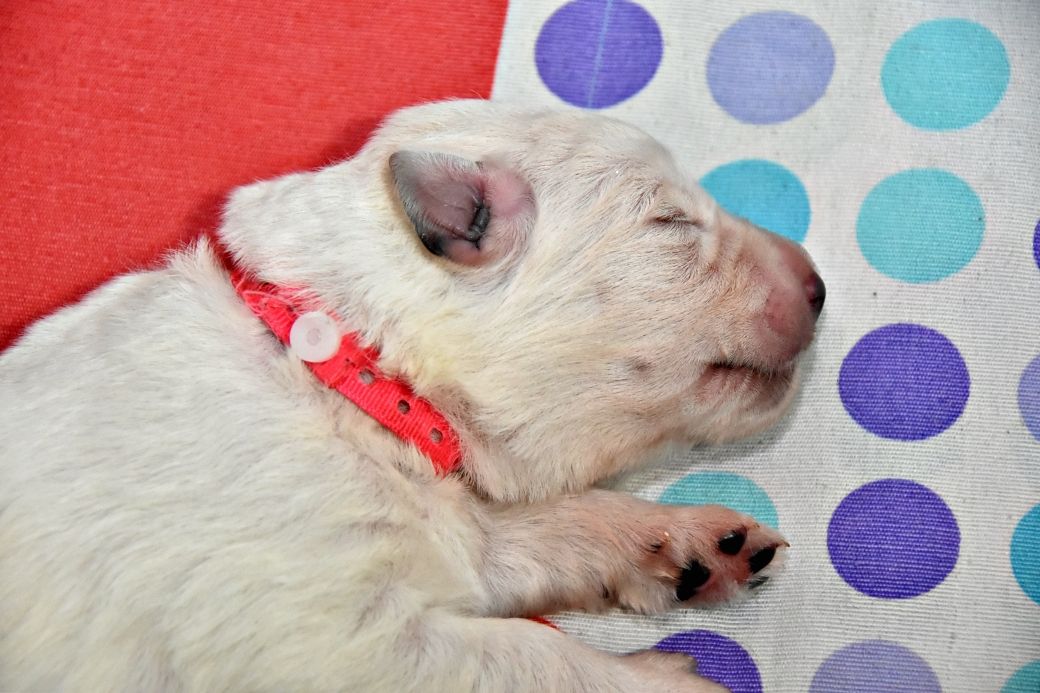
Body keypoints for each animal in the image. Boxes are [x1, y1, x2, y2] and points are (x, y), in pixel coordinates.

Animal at [0, 99, 824, 692]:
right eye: (670, 221)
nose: (818, 285)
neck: (355, 373)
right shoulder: (330, 639)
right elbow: (536, 658)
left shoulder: (451, 532)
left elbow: (556, 525)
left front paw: (692, 541)